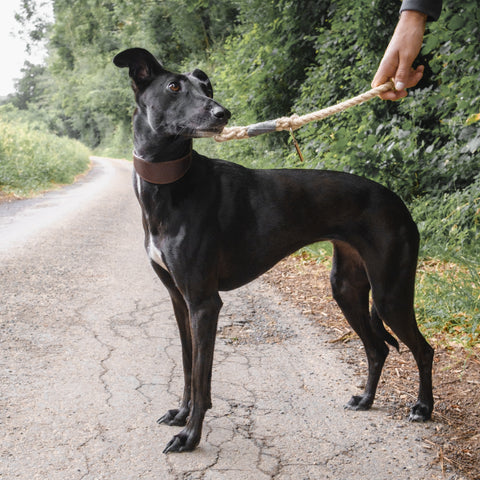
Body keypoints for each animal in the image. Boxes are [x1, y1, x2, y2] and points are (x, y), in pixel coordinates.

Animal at [113, 48, 436, 454]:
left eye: (206, 88)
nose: (222, 114)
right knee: (377, 348)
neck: (171, 185)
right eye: (174, 87)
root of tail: (397, 202)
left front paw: (190, 435)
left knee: (423, 349)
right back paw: (365, 399)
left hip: (390, 292)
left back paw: (423, 407)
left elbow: (202, 378)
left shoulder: (204, 303)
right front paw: (181, 413)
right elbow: (188, 366)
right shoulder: (179, 300)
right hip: (346, 288)